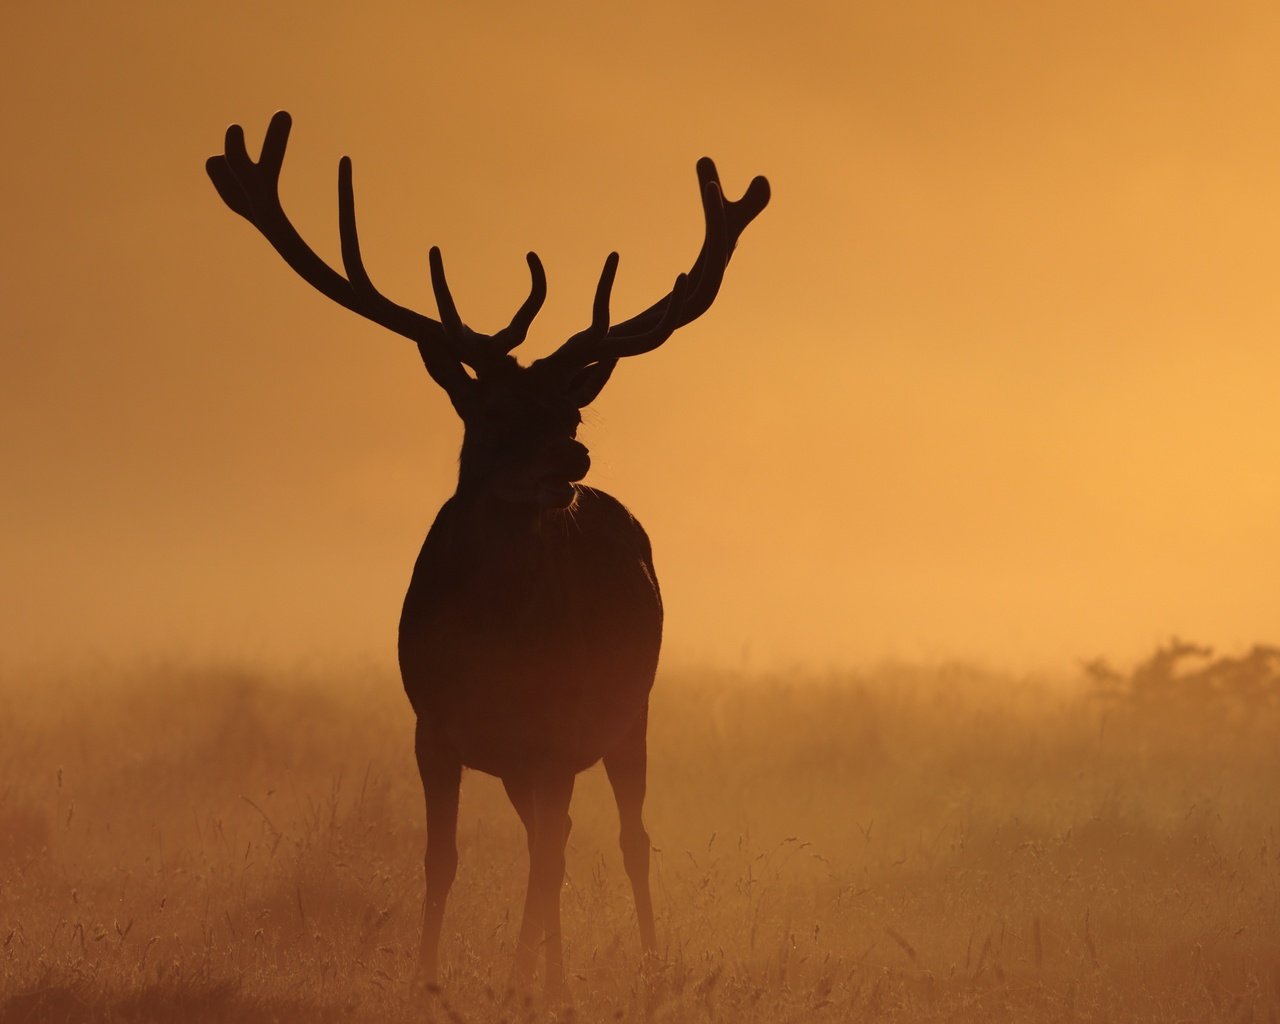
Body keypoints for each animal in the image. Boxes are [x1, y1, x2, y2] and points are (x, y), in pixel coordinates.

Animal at [207, 113, 768, 998]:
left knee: (620, 839)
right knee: (556, 839)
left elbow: (552, 861)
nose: (573, 459)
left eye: (572, 410)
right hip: (519, 761)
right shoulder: (434, 730)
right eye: (494, 408)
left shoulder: (556, 731)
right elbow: (441, 858)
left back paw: (624, 967)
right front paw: (429, 980)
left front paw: (525, 984)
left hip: (626, 715)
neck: (496, 641)